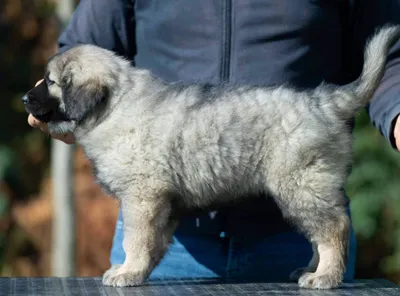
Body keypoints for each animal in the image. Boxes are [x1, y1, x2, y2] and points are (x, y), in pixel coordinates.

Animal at [23, 25, 400, 290]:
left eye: (51, 82)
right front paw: (137, 270)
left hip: (301, 185)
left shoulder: (142, 197)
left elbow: (137, 239)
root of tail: (326, 101)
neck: (114, 106)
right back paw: (311, 269)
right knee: (321, 232)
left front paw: (128, 271)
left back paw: (325, 277)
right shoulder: (164, 202)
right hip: (308, 189)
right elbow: (155, 242)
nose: (25, 99)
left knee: (334, 228)